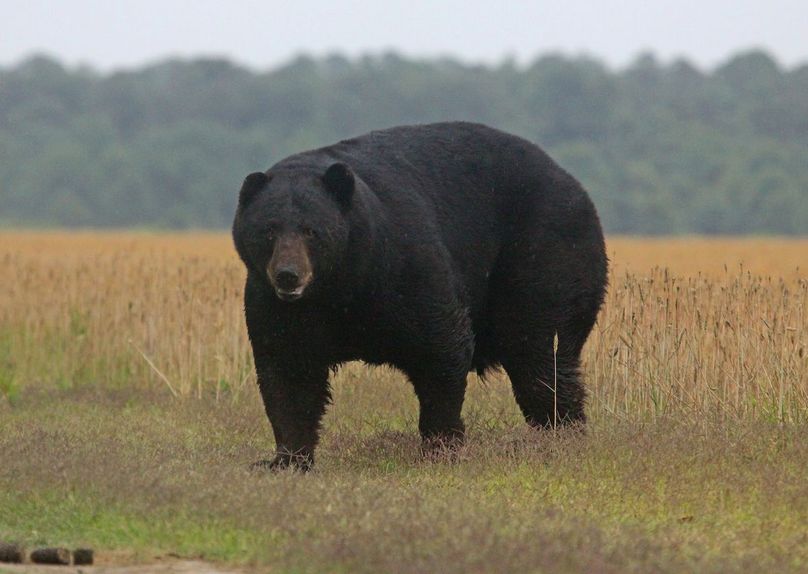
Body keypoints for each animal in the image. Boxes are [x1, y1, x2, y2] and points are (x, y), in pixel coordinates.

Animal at [232, 122, 607, 470]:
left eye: (312, 231)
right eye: (269, 229)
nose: (288, 275)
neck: (342, 285)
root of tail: (573, 182)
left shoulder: (405, 264)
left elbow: (440, 346)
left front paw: (441, 446)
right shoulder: (277, 305)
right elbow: (289, 371)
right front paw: (286, 460)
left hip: (546, 252)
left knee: (541, 355)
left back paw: (560, 435)